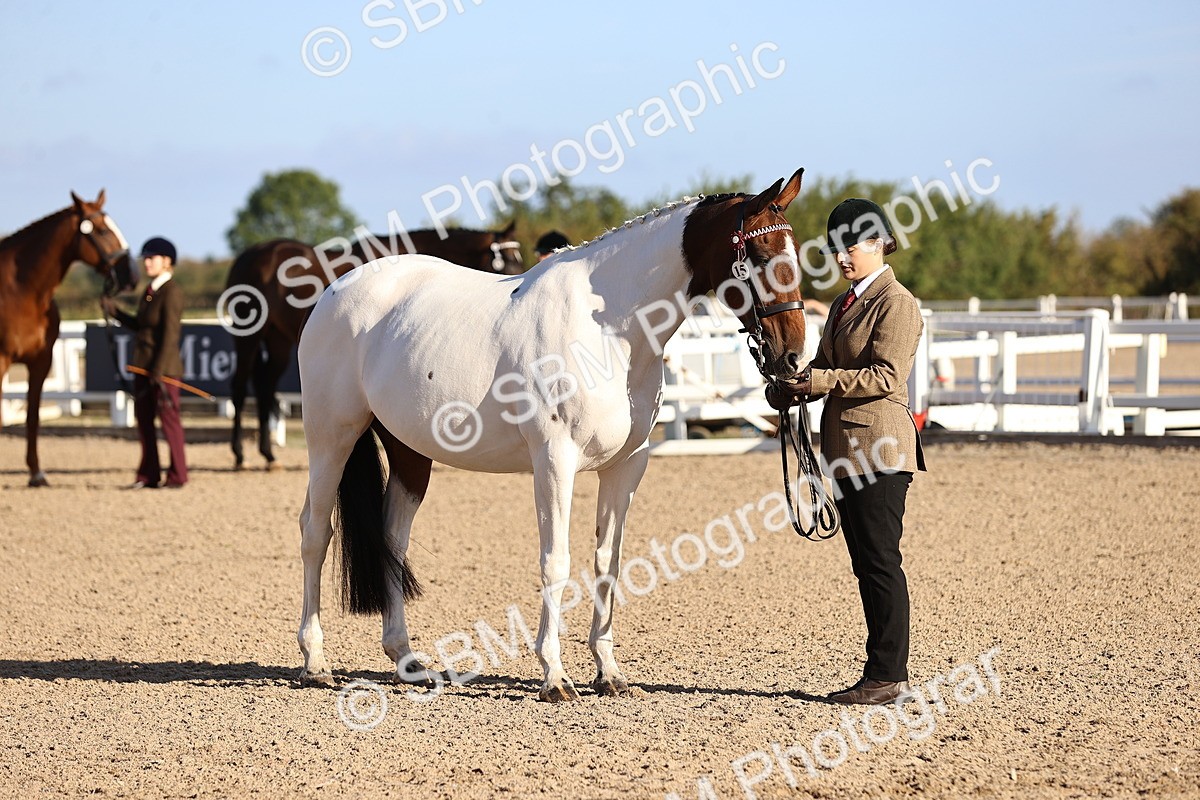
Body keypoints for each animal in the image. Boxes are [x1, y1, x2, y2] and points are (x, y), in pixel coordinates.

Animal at [0, 191, 134, 486]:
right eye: (102, 230)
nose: (132, 275)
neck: (23, 292)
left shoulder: (41, 362)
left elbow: (33, 416)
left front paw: (36, 473)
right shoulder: (1, 361)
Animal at [225, 223, 525, 469]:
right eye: (505, 263)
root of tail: (251, 254)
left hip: (278, 340)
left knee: (265, 388)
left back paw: (268, 455)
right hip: (248, 336)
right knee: (239, 387)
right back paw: (239, 454)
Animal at [295, 169, 810, 701]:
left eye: (794, 253)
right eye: (762, 257)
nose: (794, 359)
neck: (612, 329)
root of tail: (334, 292)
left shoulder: (626, 466)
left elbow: (608, 561)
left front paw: (608, 672)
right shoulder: (554, 460)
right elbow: (555, 561)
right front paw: (554, 676)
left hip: (409, 451)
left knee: (393, 539)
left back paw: (407, 661)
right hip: (331, 436)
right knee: (316, 532)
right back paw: (315, 662)